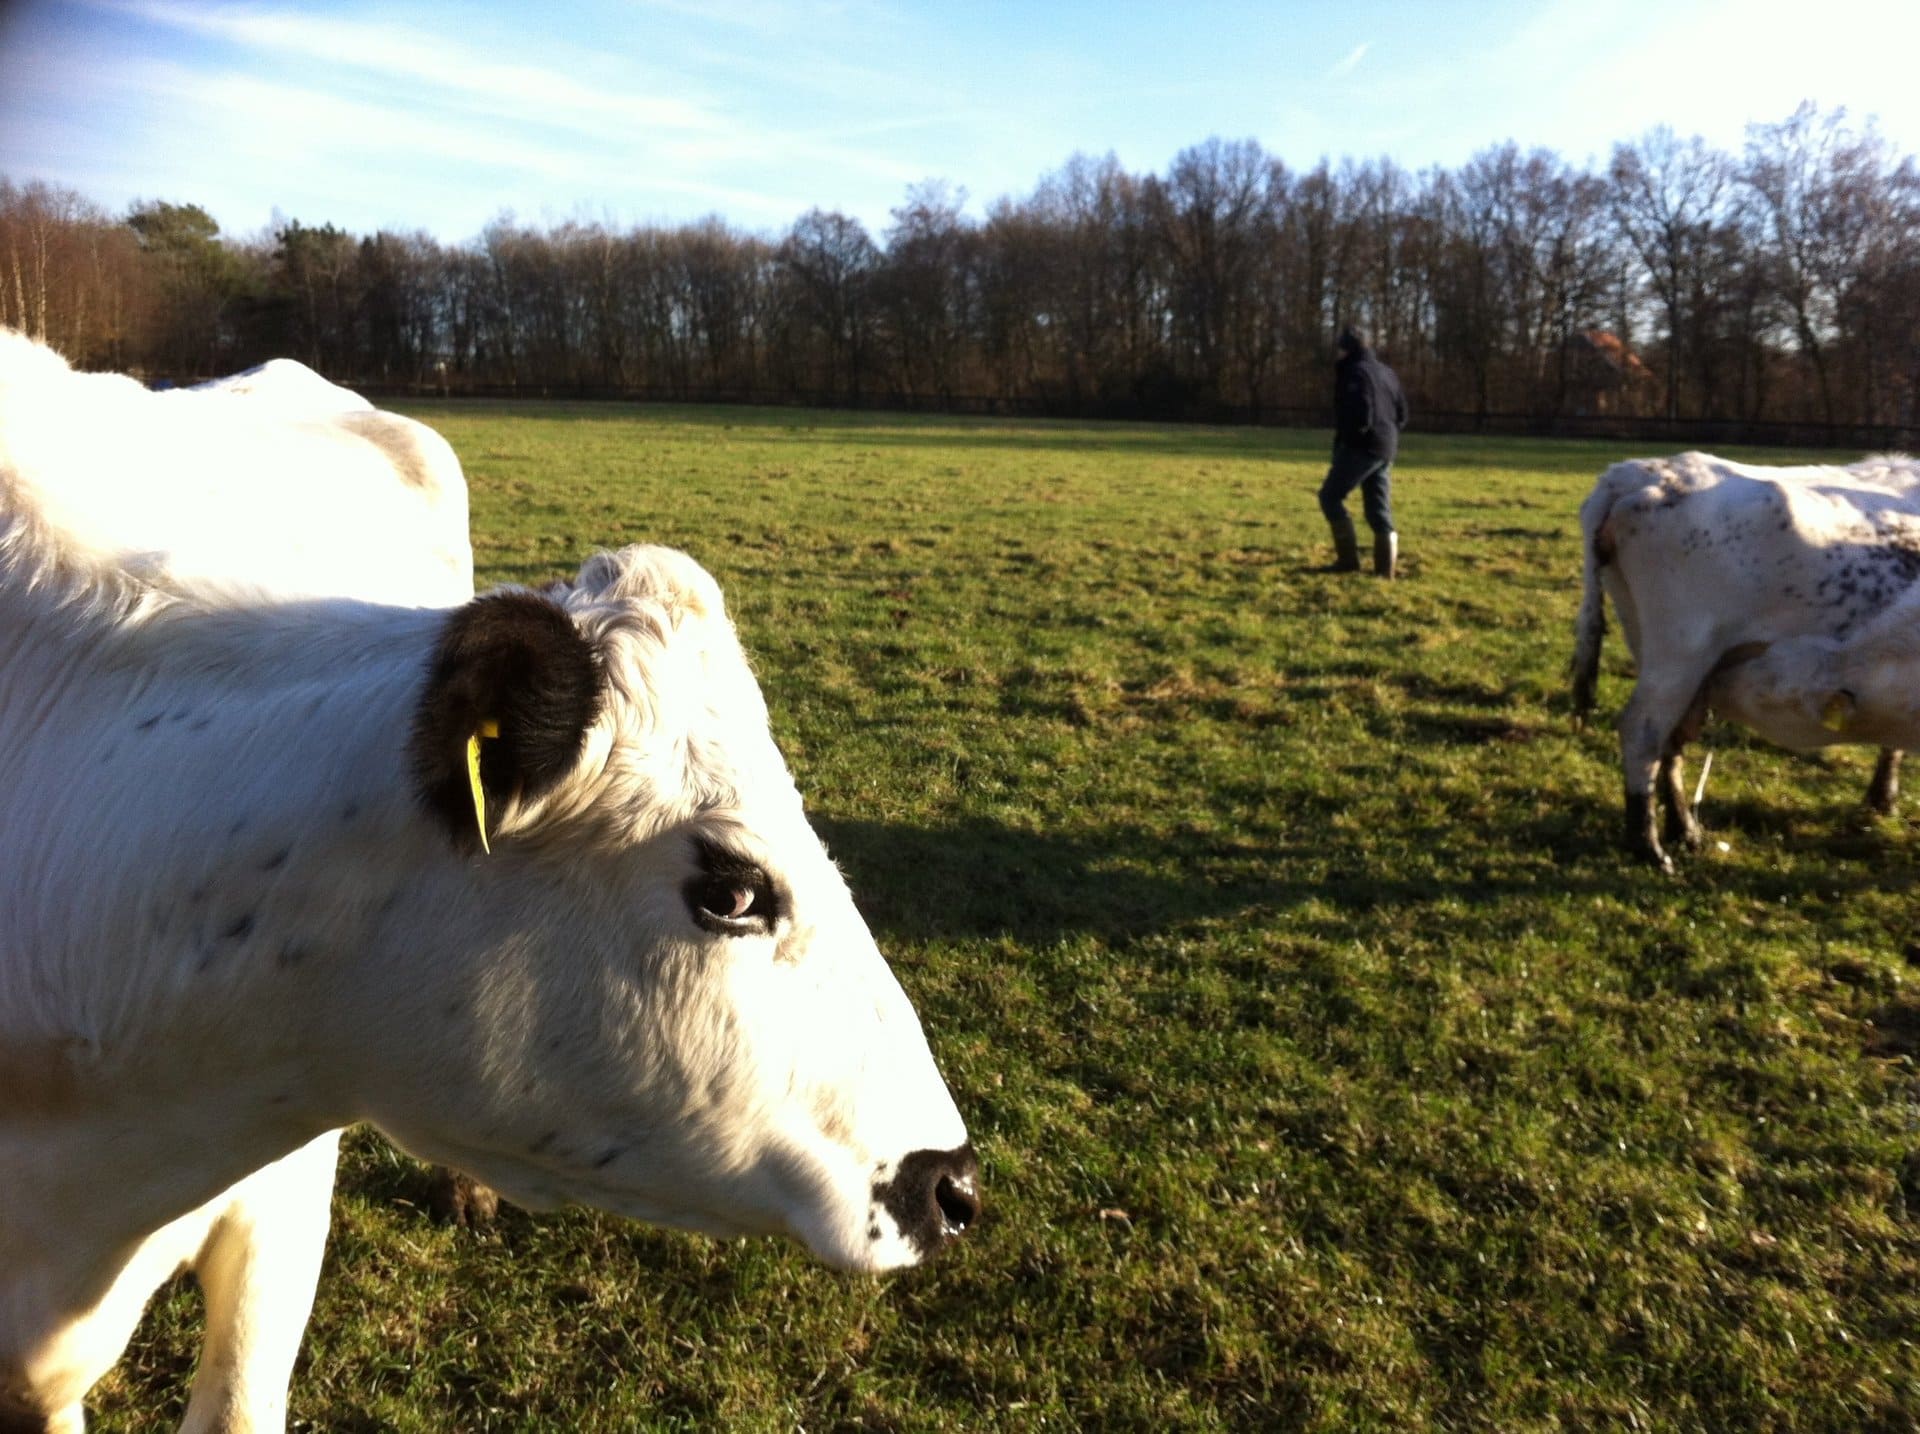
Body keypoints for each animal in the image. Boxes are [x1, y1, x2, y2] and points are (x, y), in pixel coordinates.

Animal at [1572, 450, 1920, 871]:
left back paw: (1684, 830)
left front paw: (1881, 798)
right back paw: (1649, 846)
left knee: (1671, 738)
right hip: (1681, 652)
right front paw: (1884, 799)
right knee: (1643, 732)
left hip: (1668, 655)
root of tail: (1634, 473)